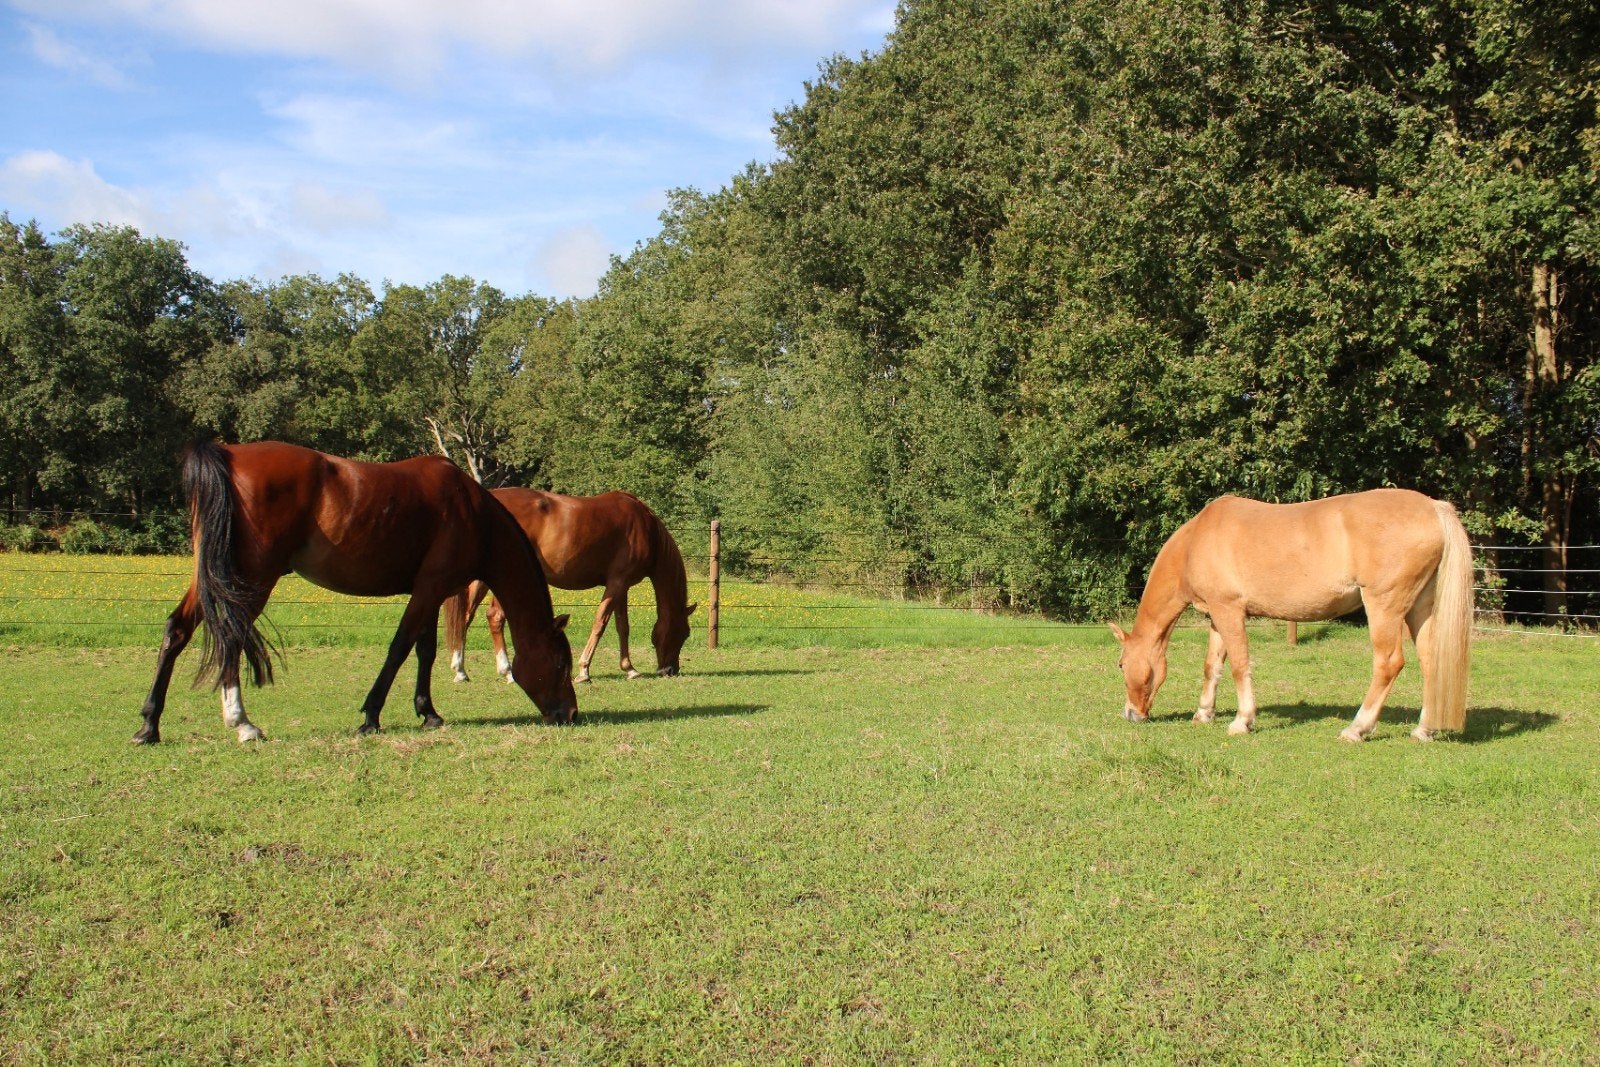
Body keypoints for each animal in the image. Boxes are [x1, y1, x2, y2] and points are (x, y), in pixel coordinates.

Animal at [135, 440, 576, 744]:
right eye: (559, 663)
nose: (569, 713)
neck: (473, 511)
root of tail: (227, 454)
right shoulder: (429, 589)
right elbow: (399, 648)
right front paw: (371, 717)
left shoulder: (431, 591)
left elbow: (425, 651)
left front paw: (428, 712)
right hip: (251, 581)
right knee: (231, 637)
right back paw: (242, 723)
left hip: (212, 578)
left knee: (178, 631)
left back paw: (150, 725)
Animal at [444, 488, 695, 685]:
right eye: (683, 633)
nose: (670, 670)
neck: (646, 528)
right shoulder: (617, 583)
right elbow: (600, 623)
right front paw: (584, 671)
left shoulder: (621, 586)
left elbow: (622, 627)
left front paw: (629, 668)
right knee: (494, 616)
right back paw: (508, 672)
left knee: (465, 617)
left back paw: (461, 671)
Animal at [1108, 489, 1473, 742]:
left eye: (1122, 665)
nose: (1131, 715)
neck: (1196, 540)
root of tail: (1433, 507)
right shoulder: (1217, 615)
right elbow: (1212, 666)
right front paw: (1203, 714)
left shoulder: (1230, 611)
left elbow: (1239, 665)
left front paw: (1242, 721)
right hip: (1419, 608)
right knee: (1431, 662)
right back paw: (1423, 730)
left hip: (1385, 606)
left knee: (1388, 664)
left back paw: (1357, 729)